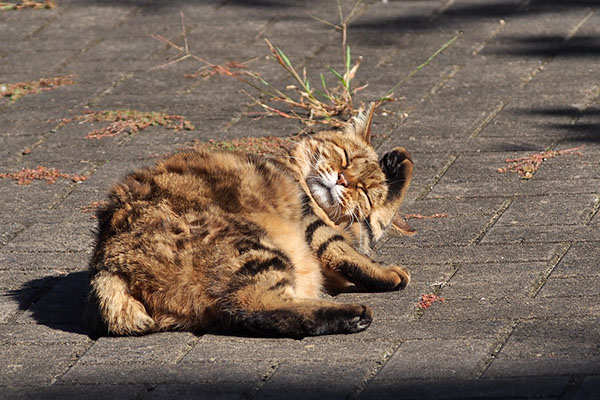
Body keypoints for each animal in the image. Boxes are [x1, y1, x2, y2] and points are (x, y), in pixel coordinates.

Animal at [85, 103, 412, 338]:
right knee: (256, 308)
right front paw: (389, 273)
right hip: (252, 248)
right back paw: (353, 314)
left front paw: (397, 164)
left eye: (364, 190)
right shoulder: (312, 223)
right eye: (344, 157)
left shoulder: (351, 230)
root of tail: (107, 264)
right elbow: (349, 251)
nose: (343, 180)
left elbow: (375, 223)